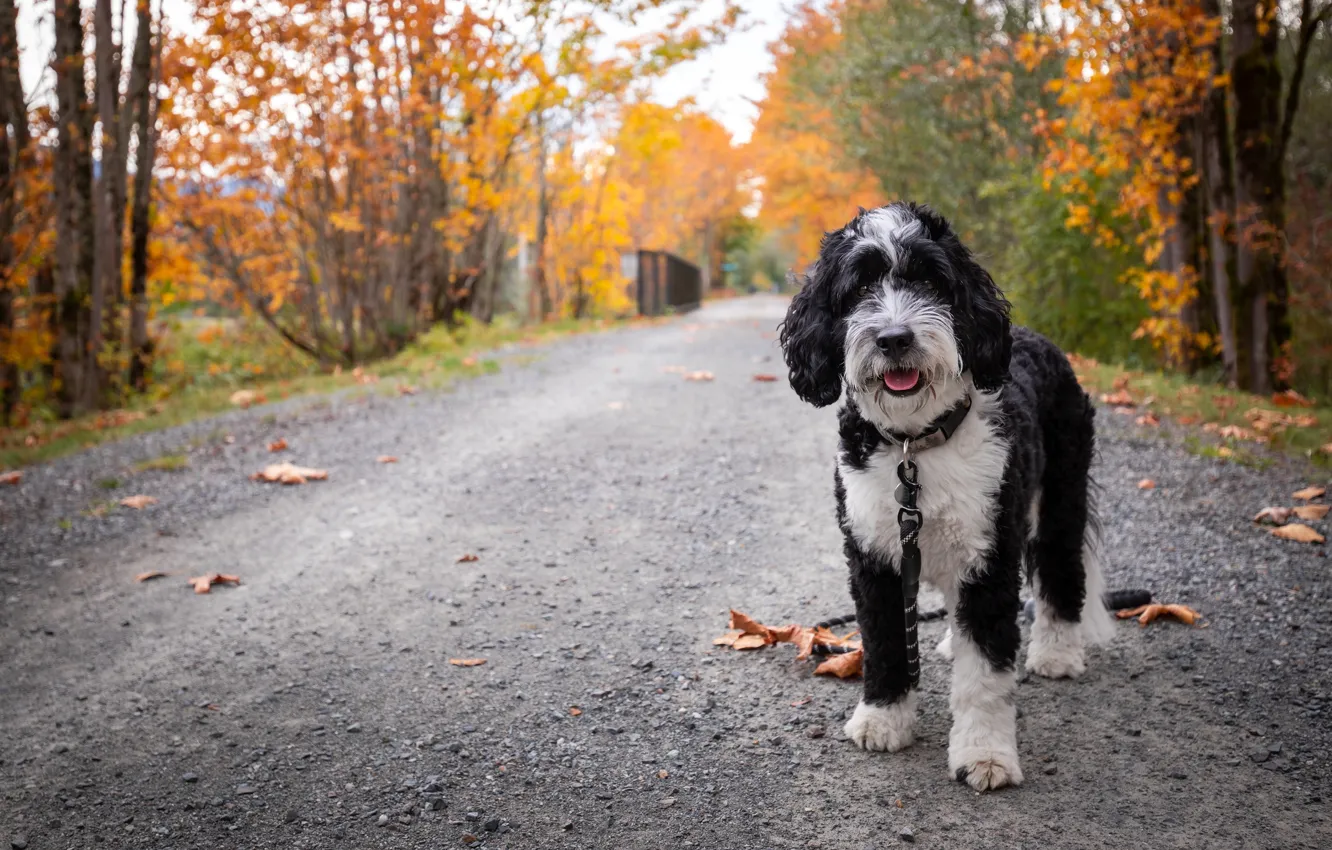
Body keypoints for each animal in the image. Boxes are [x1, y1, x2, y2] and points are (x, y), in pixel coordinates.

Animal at [777, 205, 1113, 794]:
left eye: (931, 281)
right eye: (859, 287)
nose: (893, 338)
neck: (916, 445)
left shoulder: (990, 556)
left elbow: (985, 674)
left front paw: (985, 754)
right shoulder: (873, 556)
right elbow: (885, 642)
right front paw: (883, 720)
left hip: (1060, 494)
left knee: (1060, 570)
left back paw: (1056, 652)